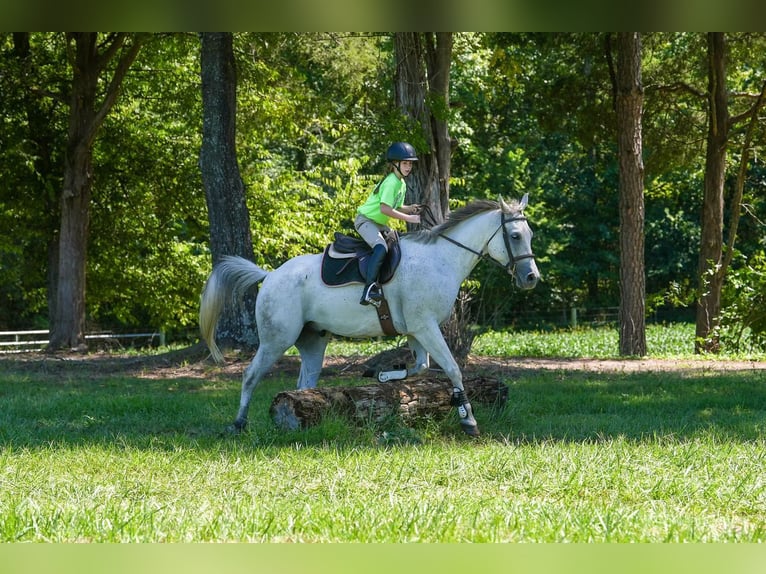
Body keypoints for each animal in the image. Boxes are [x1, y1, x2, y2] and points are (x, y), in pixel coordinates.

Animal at [199, 194, 540, 437]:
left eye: (530, 234)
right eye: (514, 235)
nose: (531, 278)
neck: (441, 258)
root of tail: (269, 276)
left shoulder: (416, 330)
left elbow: (420, 367)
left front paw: (383, 375)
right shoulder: (426, 327)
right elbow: (453, 369)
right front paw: (468, 421)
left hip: (313, 339)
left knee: (304, 381)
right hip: (276, 339)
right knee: (250, 375)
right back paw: (238, 423)